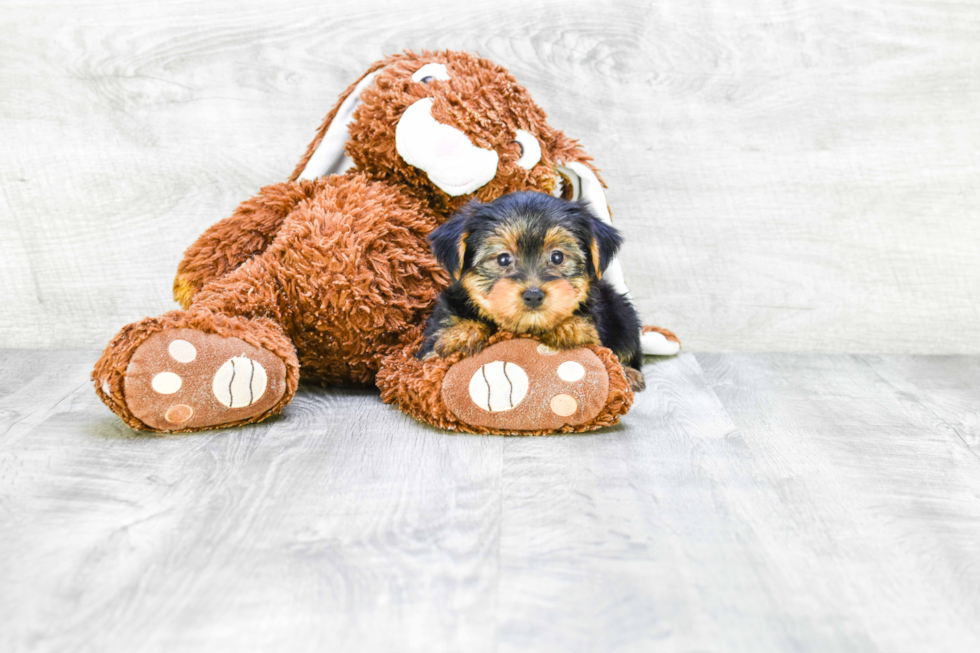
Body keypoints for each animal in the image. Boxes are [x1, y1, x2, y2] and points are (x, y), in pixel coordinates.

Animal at [420, 191, 644, 390]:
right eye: (503, 259)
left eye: (557, 257)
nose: (534, 295)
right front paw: (461, 334)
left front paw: (569, 327)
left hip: (624, 315)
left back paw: (630, 373)